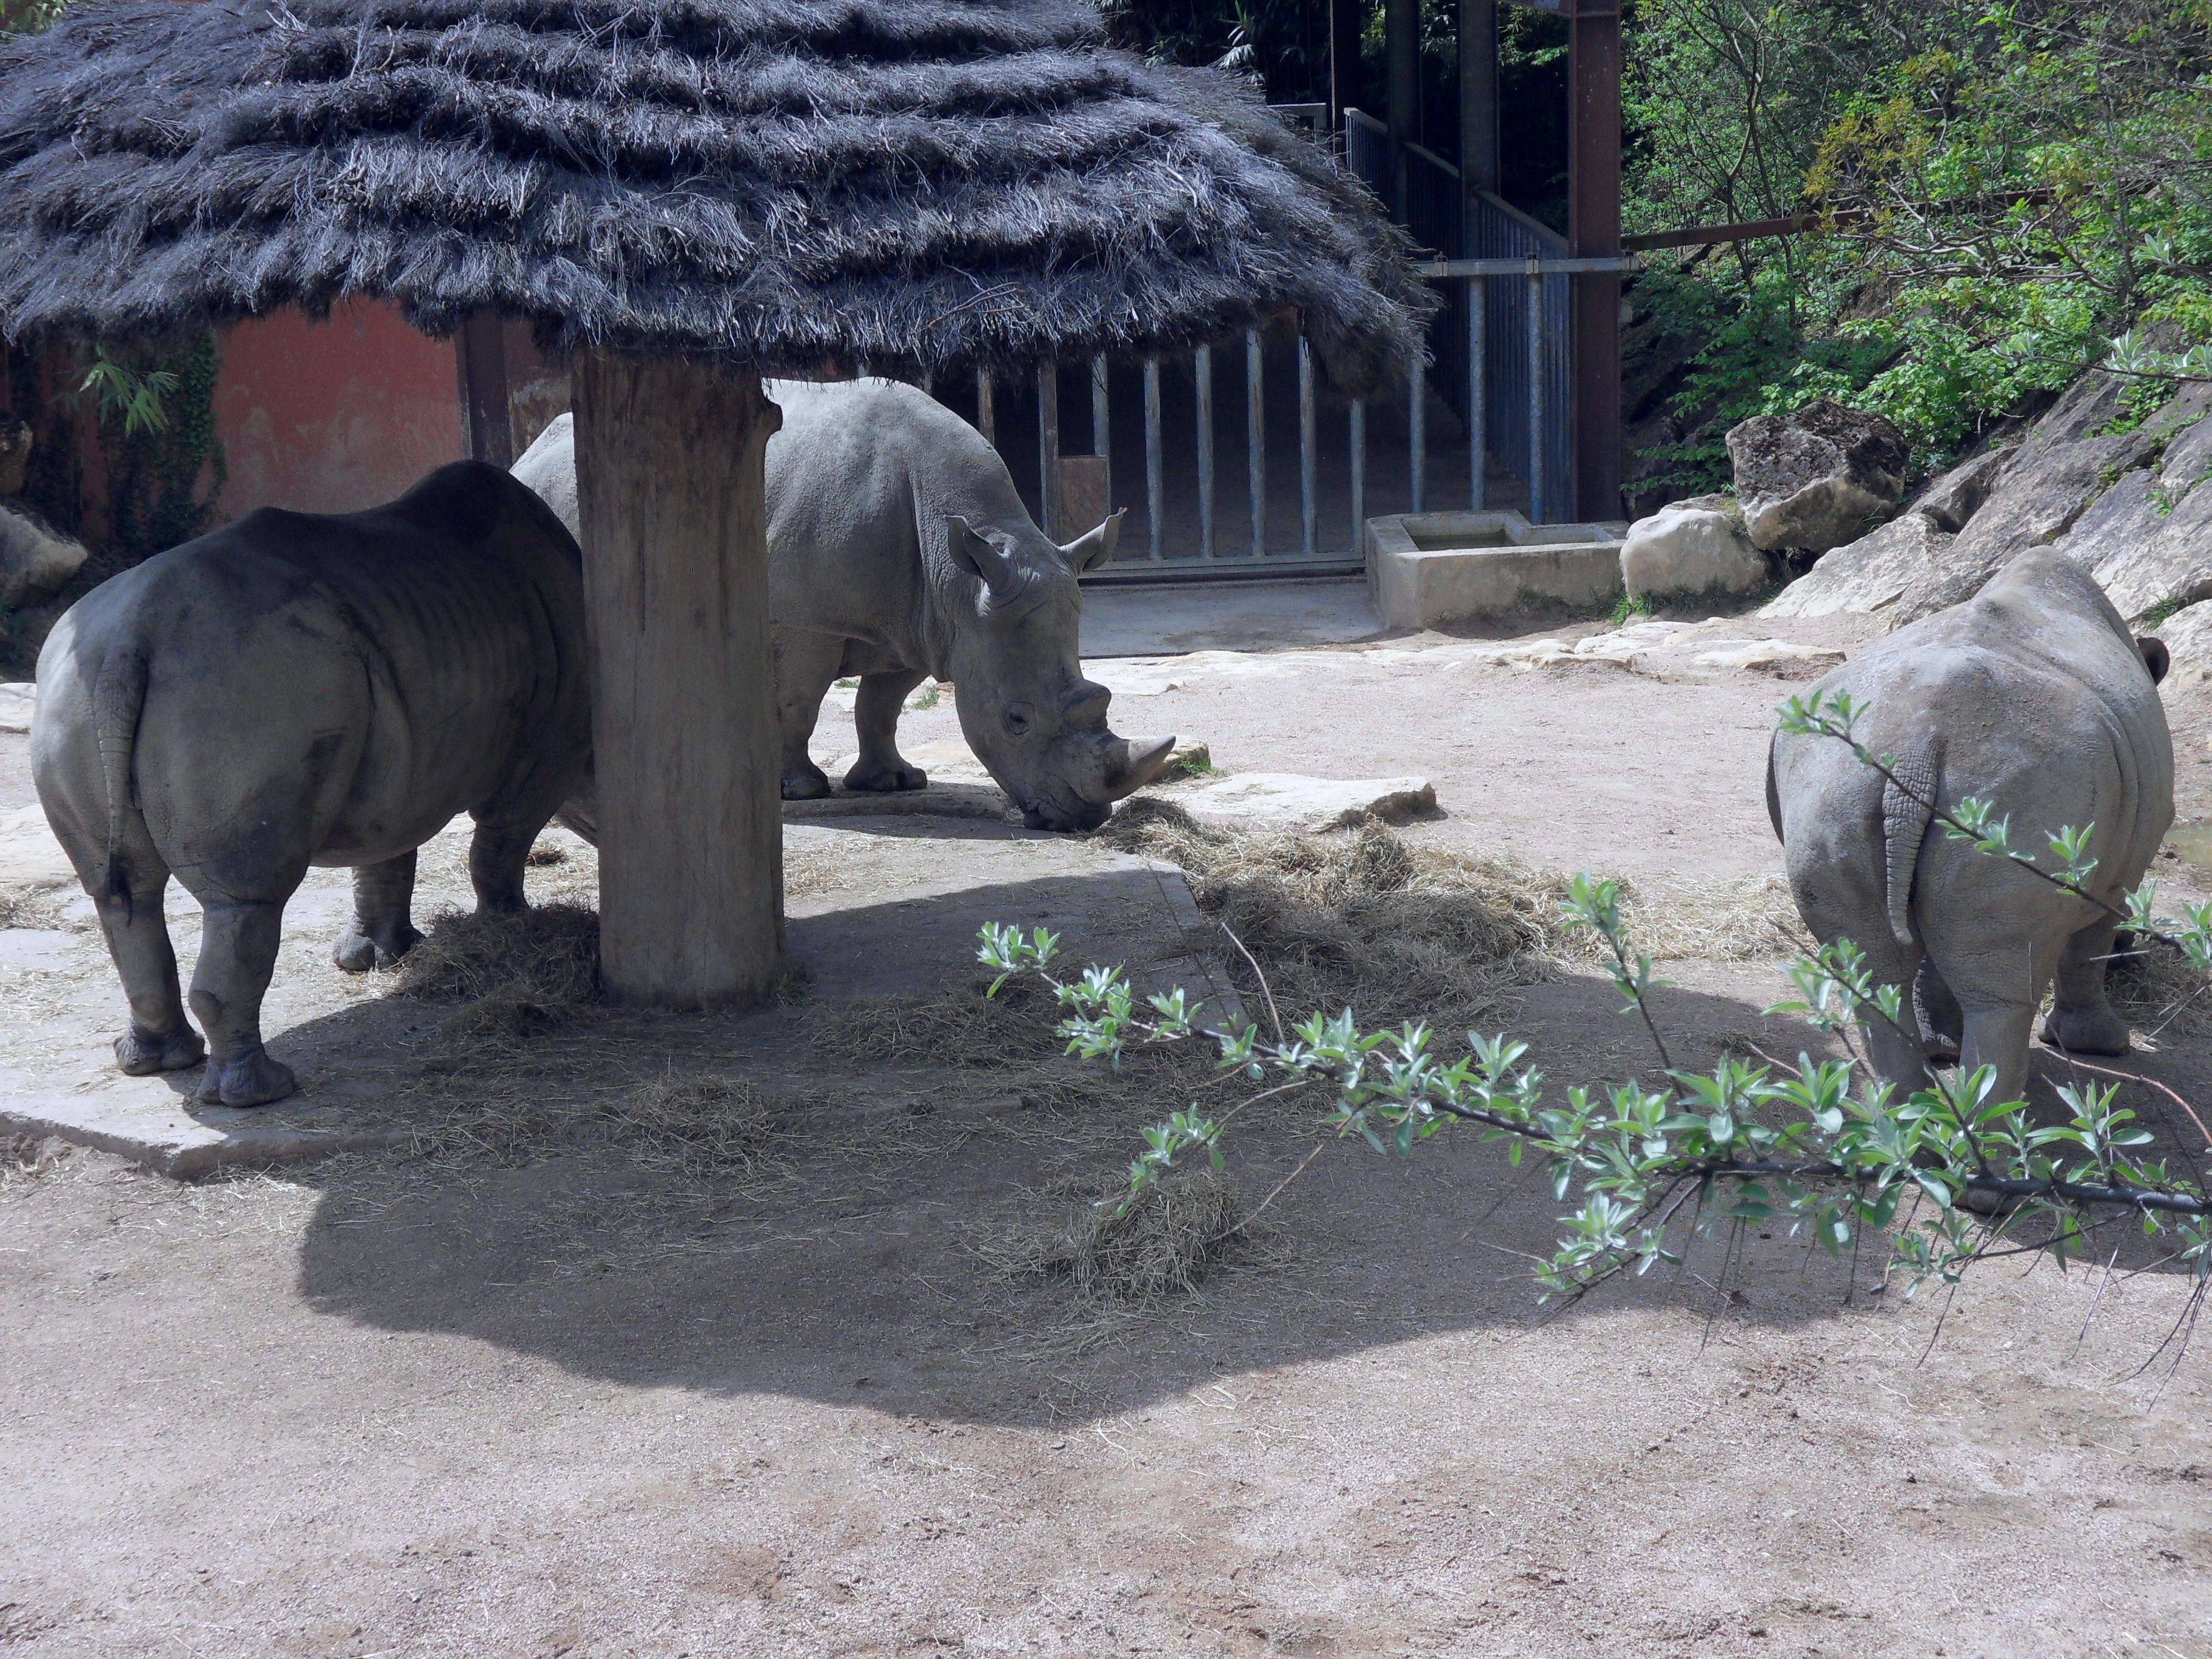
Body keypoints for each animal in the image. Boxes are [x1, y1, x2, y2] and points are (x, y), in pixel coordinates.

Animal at [30, 461, 590, 1106]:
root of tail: (129, 638)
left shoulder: (407, 748)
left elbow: (386, 850)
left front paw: (383, 957)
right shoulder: (550, 750)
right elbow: (500, 842)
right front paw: (510, 929)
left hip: (81, 688)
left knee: (125, 896)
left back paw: (158, 1062)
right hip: (248, 685)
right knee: (246, 898)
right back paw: (264, 1092)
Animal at [513, 377, 1174, 832]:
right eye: (1016, 719)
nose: (1081, 819)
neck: (960, 580)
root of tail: (533, 445)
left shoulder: (925, 626)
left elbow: (881, 706)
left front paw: (893, 783)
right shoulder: (810, 621)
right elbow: (798, 702)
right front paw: (799, 791)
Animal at [1766, 548, 2174, 1107]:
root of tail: (1916, 742)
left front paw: (1942, 1047)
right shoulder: (2125, 861)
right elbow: (2090, 942)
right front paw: (2102, 1047)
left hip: (1835, 777)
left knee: (1877, 970)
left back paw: (1907, 1118)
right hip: (2032, 786)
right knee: (2001, 992)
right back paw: (1992, 1121)